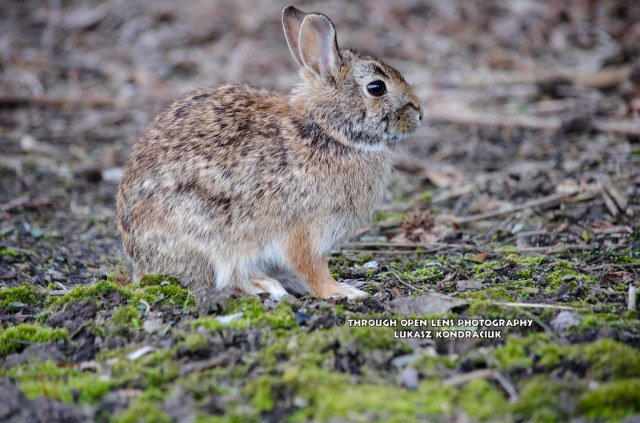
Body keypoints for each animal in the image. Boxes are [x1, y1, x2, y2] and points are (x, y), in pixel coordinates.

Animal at [115, 5, 422, 300]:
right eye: (376, 87)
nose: (419, 113)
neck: (327, 131)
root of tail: (138, 261)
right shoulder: (305, 232)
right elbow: (312, 268)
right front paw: (340, 291)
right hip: (210, 239)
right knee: (228, 278)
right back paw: (266, 285)